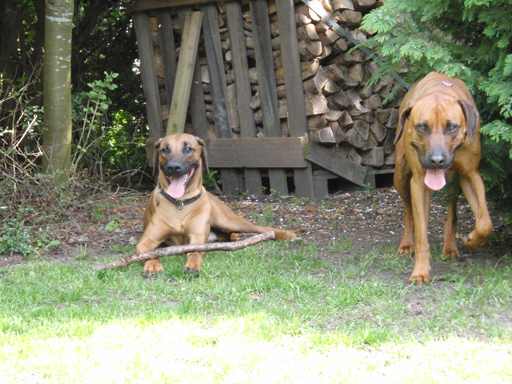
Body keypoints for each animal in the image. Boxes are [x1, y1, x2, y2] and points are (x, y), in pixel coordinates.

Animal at [134, 133, 298, 276]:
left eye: (188, 149)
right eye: (165, 150)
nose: (174, 167)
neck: (181, 203)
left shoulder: (197, 238)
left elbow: (194, 253)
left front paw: (193, 265)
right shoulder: (146, 241)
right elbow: (148, 253)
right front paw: (153, 265)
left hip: (228, 220)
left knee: (262, 229)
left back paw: (285, 234)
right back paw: (237, 237)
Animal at [394, 72, 494, 284]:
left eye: (452, 127)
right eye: (422, 127)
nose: (437, 161)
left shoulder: (471, 174)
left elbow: (484, 223)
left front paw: (472, 240)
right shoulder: (418, 182)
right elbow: (421, 235)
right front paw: (420, 272)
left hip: (453, 183)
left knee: (451, 211)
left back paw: (450, 246)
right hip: (400, 175)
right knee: (409, 211)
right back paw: (407, 244)